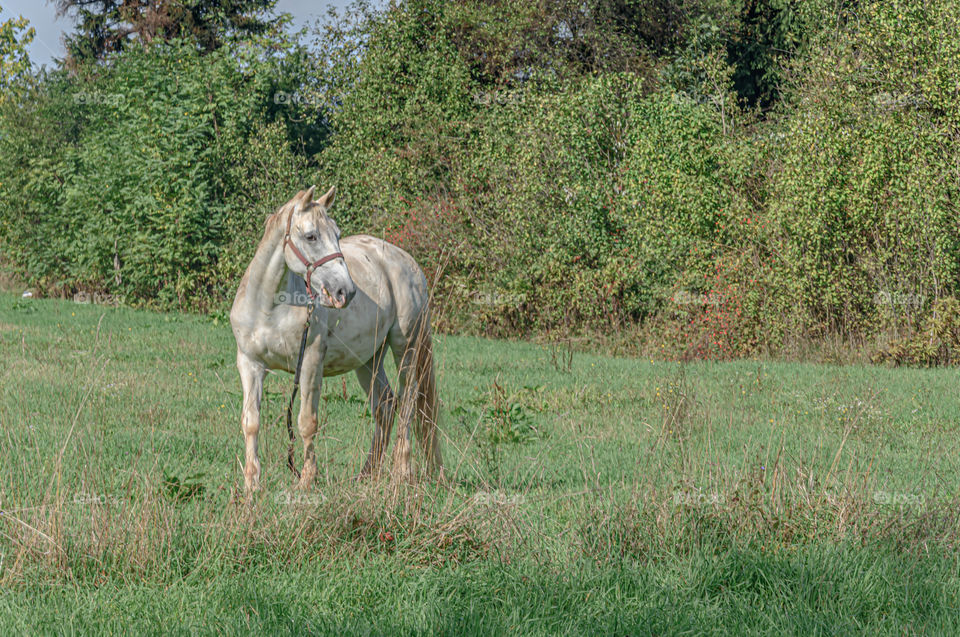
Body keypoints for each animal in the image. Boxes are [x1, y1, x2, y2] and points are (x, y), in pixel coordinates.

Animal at [229, 186, 442, 490]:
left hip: (407, 347)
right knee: (385, 405)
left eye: (338, 234)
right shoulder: (250, 365)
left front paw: (306, 480)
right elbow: (251, 422)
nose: (345, 291)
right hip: (369, 359)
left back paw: (401, 472)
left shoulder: (310, 364)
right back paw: (367, 474)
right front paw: (252, 485)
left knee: (409, 402)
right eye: (311, 236)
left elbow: (307, 422)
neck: (269, 307)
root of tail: (405, 260)